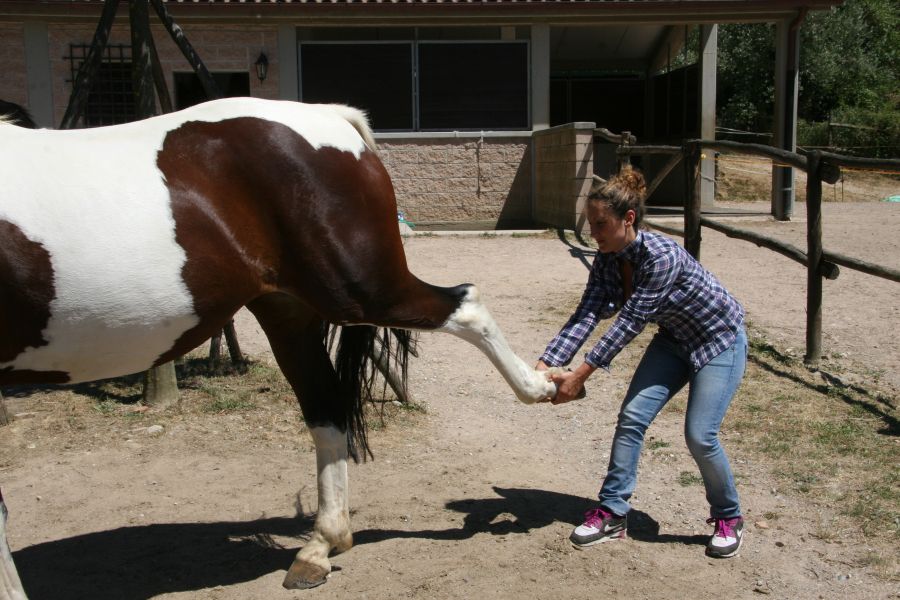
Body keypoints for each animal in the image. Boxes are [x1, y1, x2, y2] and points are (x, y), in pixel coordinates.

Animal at [0, 98, 556, 596]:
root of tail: (332, 118)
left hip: (360, 290)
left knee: (466, 304)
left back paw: (541, 386)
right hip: (289, 310)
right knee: (327, 408)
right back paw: (319, 548)